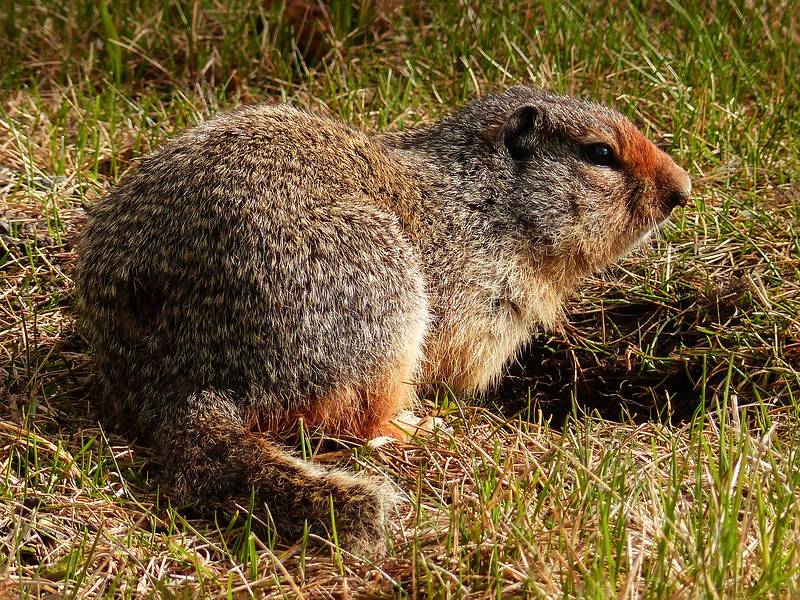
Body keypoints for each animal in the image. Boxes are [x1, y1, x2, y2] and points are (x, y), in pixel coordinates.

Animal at [72, 86, 692, 556]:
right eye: (600, 153)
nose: (682, 190)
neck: (489, 206)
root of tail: (184, 382)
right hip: (377, 293)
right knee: (354, 416)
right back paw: (415, 426)